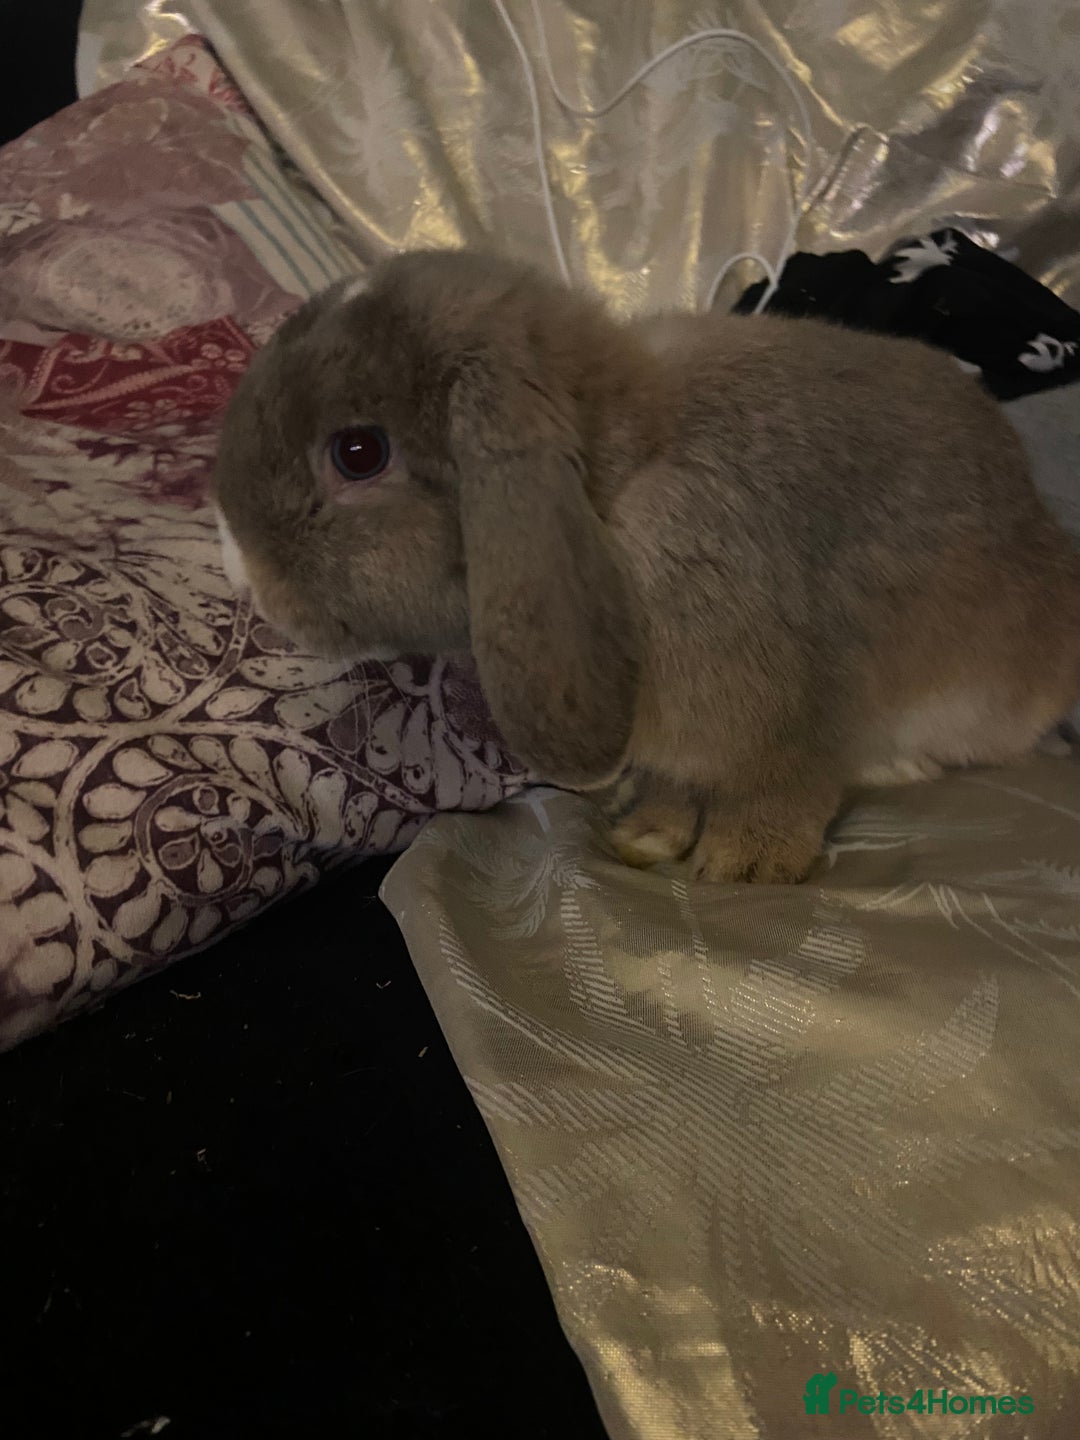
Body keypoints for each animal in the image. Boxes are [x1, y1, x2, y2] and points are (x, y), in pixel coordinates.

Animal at [211, 247, 1080, 884]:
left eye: (358, 453)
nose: (236, 563)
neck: (614, 499)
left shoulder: (791, 705)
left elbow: (787, 781)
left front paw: (745, 863)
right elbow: (674, 783)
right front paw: (650, 834)